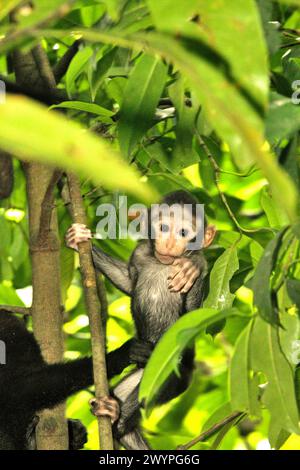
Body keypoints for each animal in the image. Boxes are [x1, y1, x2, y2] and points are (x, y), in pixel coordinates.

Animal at [65, 190, 216, 448]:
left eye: (183, 232)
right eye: (164, 227)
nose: (169, 243)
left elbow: (191, 319)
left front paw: (193, 265)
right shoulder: (140, 253)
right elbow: (128, 281)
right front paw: (80, 241)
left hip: (175, 373)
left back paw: (117, 415)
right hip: (140, 372)